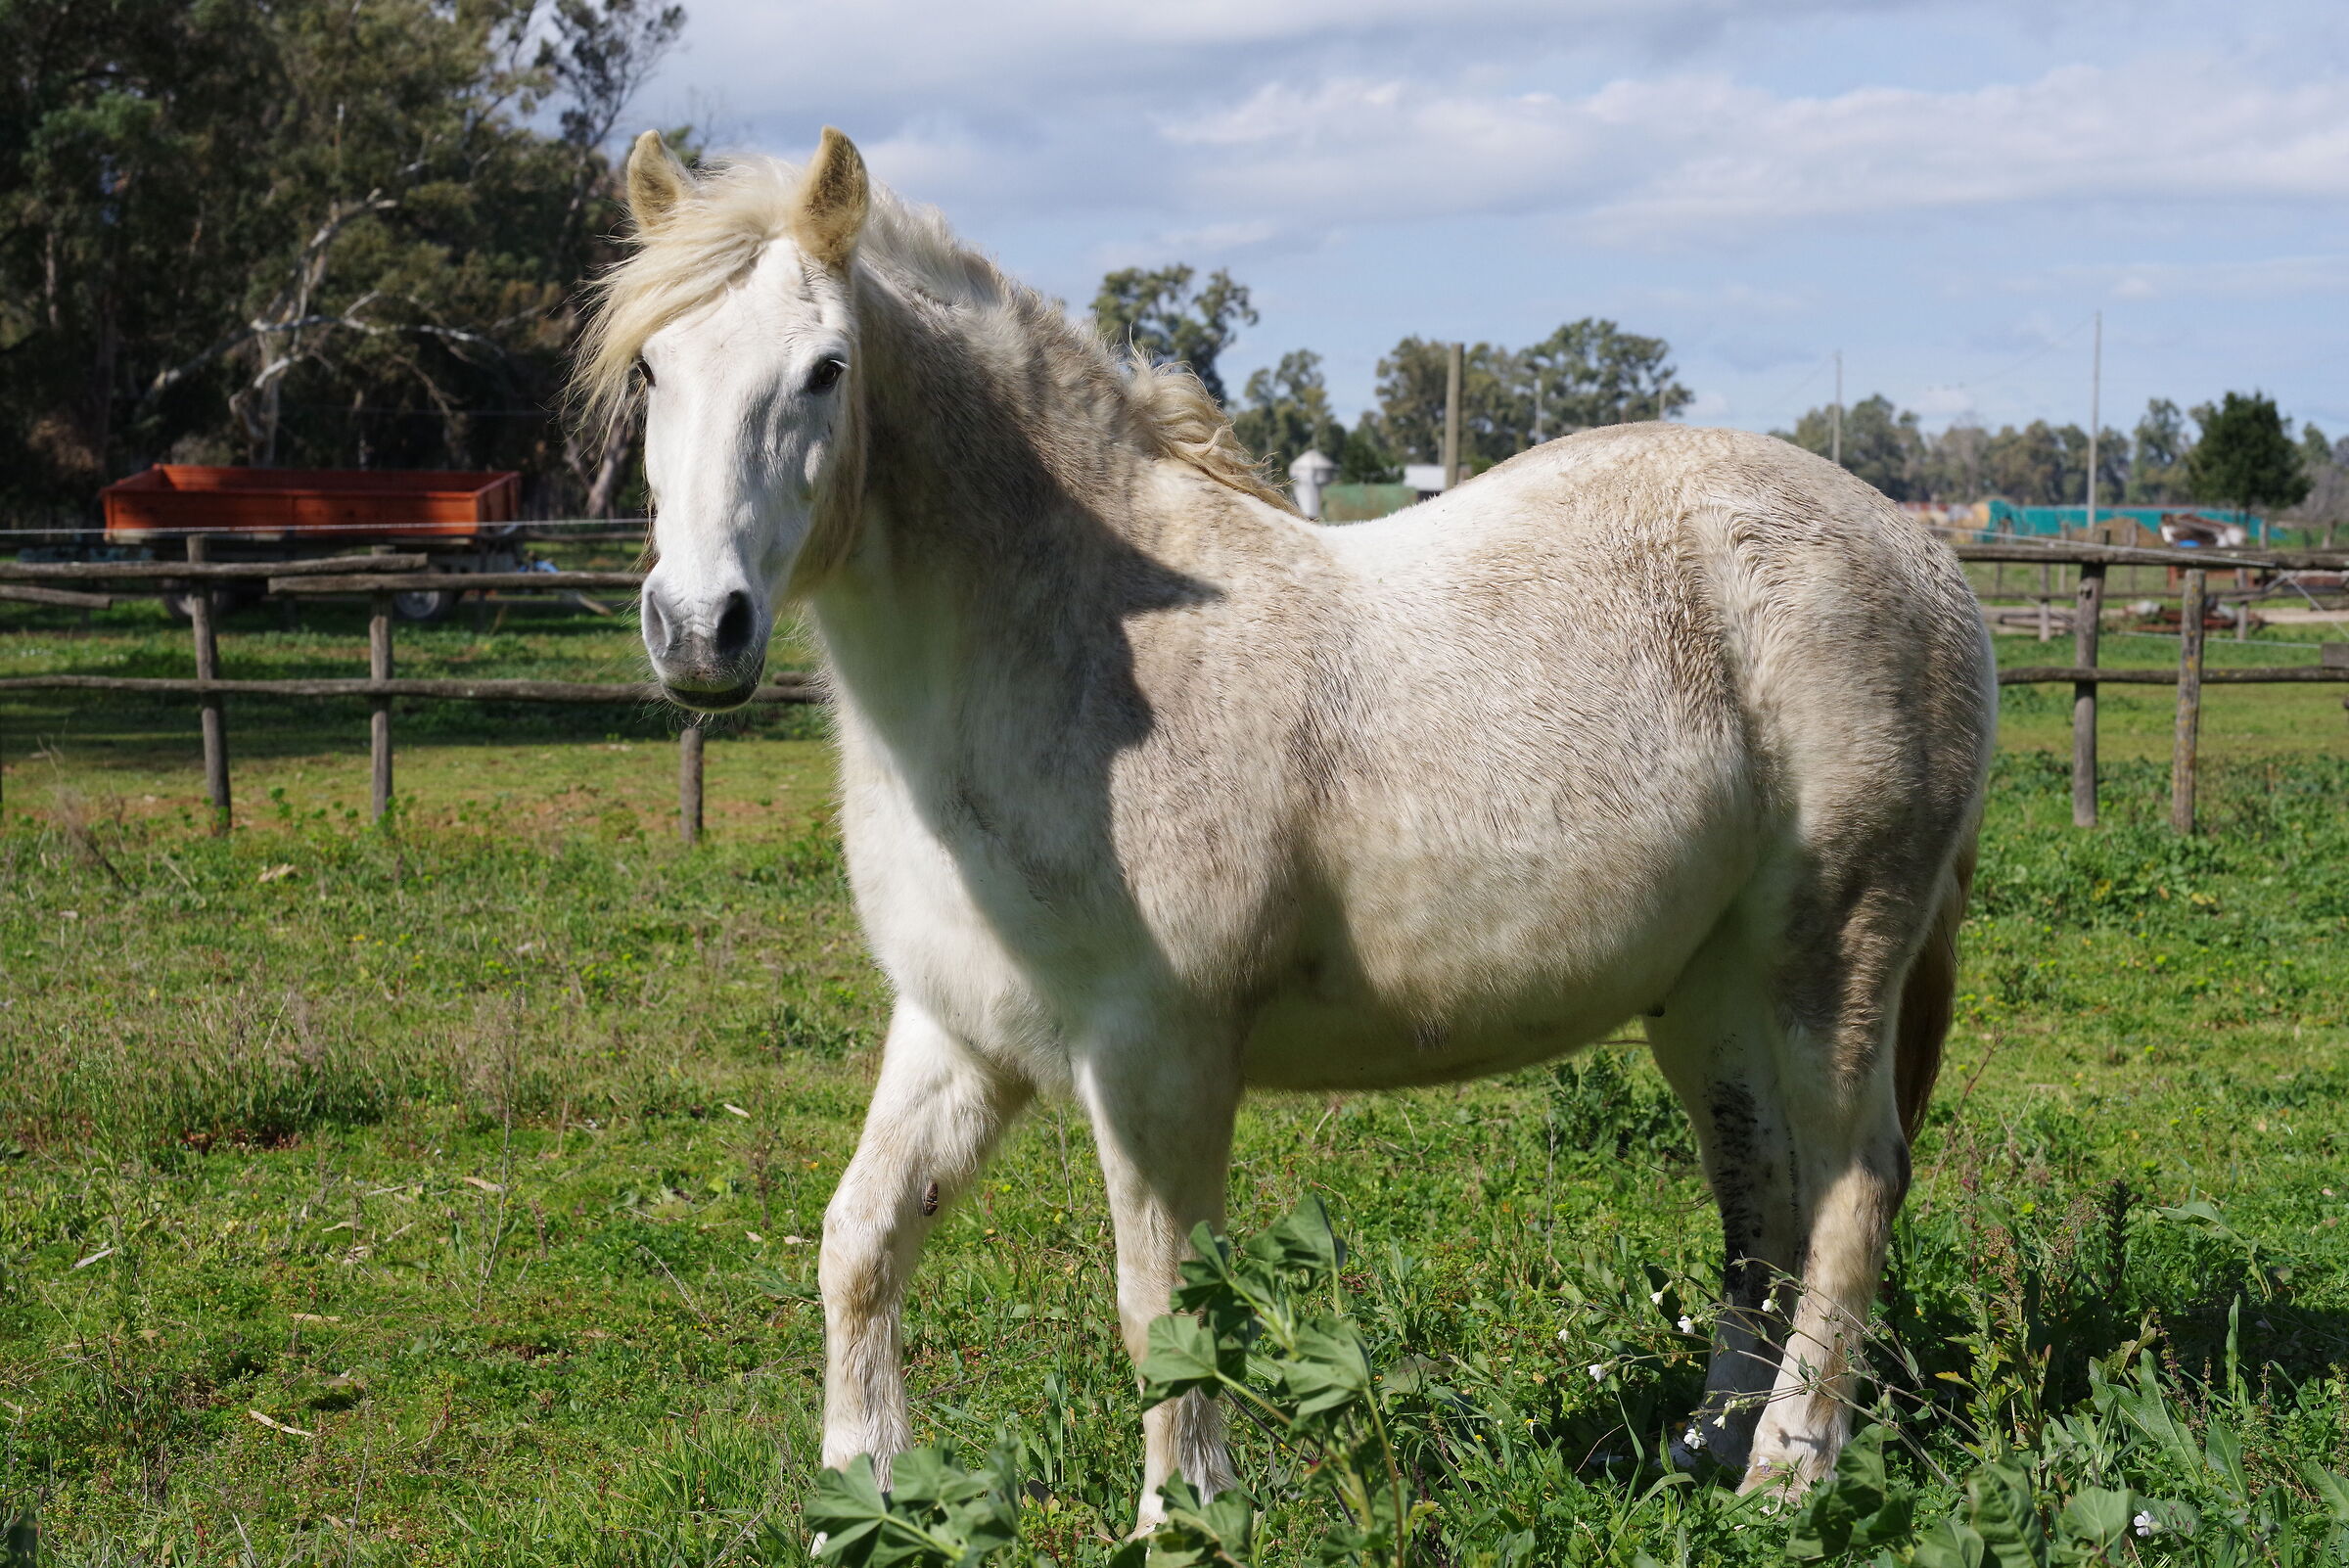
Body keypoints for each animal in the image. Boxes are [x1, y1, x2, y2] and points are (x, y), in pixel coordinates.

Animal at [577, 126, 1995, 1522]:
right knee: (1764, 1192)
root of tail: (1922, 554)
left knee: (1855, 1185)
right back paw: (1707, 1447)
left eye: (825, 371)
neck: (1063, 655)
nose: (700, 630)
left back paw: (1789, 1468)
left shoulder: (1160, 1054)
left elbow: (1161, 1305)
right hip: (1710, 988)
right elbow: (860, 1242)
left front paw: (1185, 1513)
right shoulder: (958, 1031)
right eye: (652, 369)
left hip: (1831, 957)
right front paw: (862, 1484)